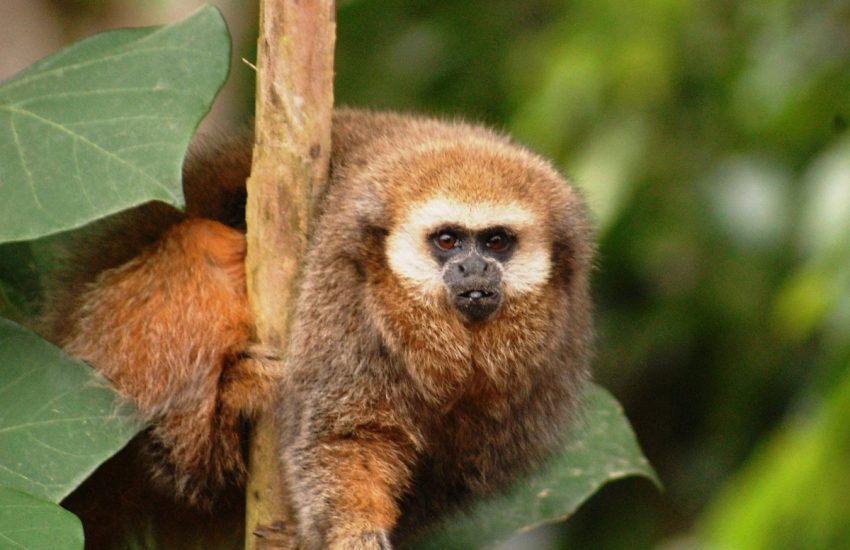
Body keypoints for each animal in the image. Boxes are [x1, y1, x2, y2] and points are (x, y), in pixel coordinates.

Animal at [40, 108, 594, 549]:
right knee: (204, 243)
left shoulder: (554, 356)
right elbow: (344, 434)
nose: (474, 269)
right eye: (448, 241)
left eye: (497, 242)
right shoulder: (340, 291)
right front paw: (353, 531)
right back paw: (211, 434)